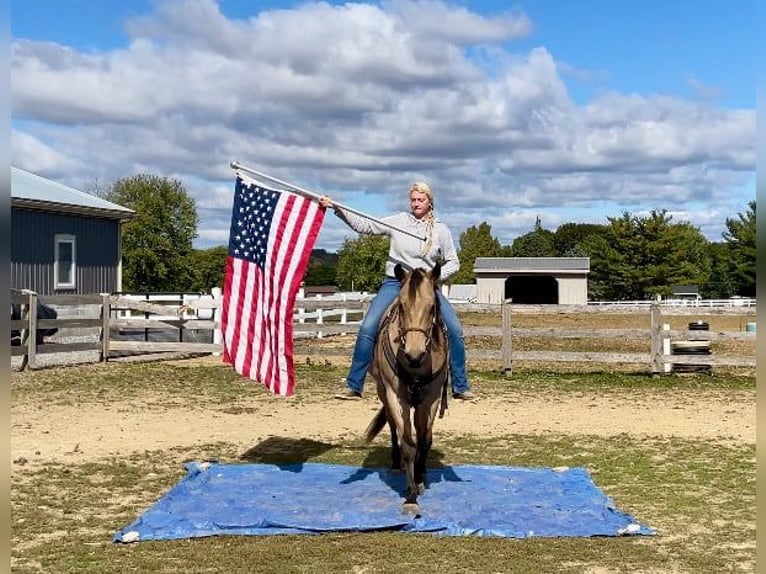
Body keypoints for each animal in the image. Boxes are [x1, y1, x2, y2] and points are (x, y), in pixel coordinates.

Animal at [366, 264, 450, 516]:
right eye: (401, 307)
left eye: (432, 307)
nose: (414, 354)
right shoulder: (396, 397)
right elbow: (408, 444)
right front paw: (411, 497)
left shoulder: (430, 399)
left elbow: (424, 440)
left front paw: (420, 478)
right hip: (383, 393)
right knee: (394, 429)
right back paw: (396, 465)